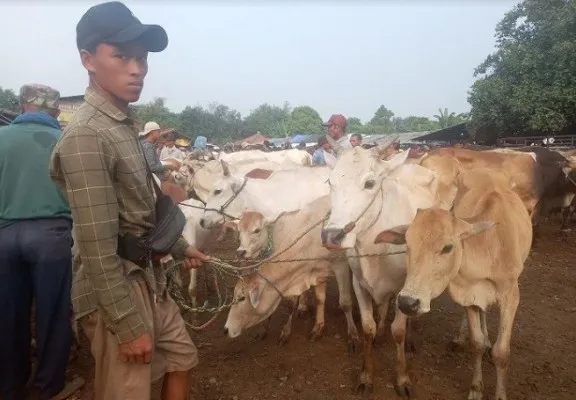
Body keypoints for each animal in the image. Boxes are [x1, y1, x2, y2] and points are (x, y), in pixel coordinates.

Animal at [374, 167, 532, 398]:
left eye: (447, 247)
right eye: (407, 244)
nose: (407, 302)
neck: (489, 248)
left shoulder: (511, 296)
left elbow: (502, 353)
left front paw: (500, 394)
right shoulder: (470, 296)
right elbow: (475, 344)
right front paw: (476, 388)